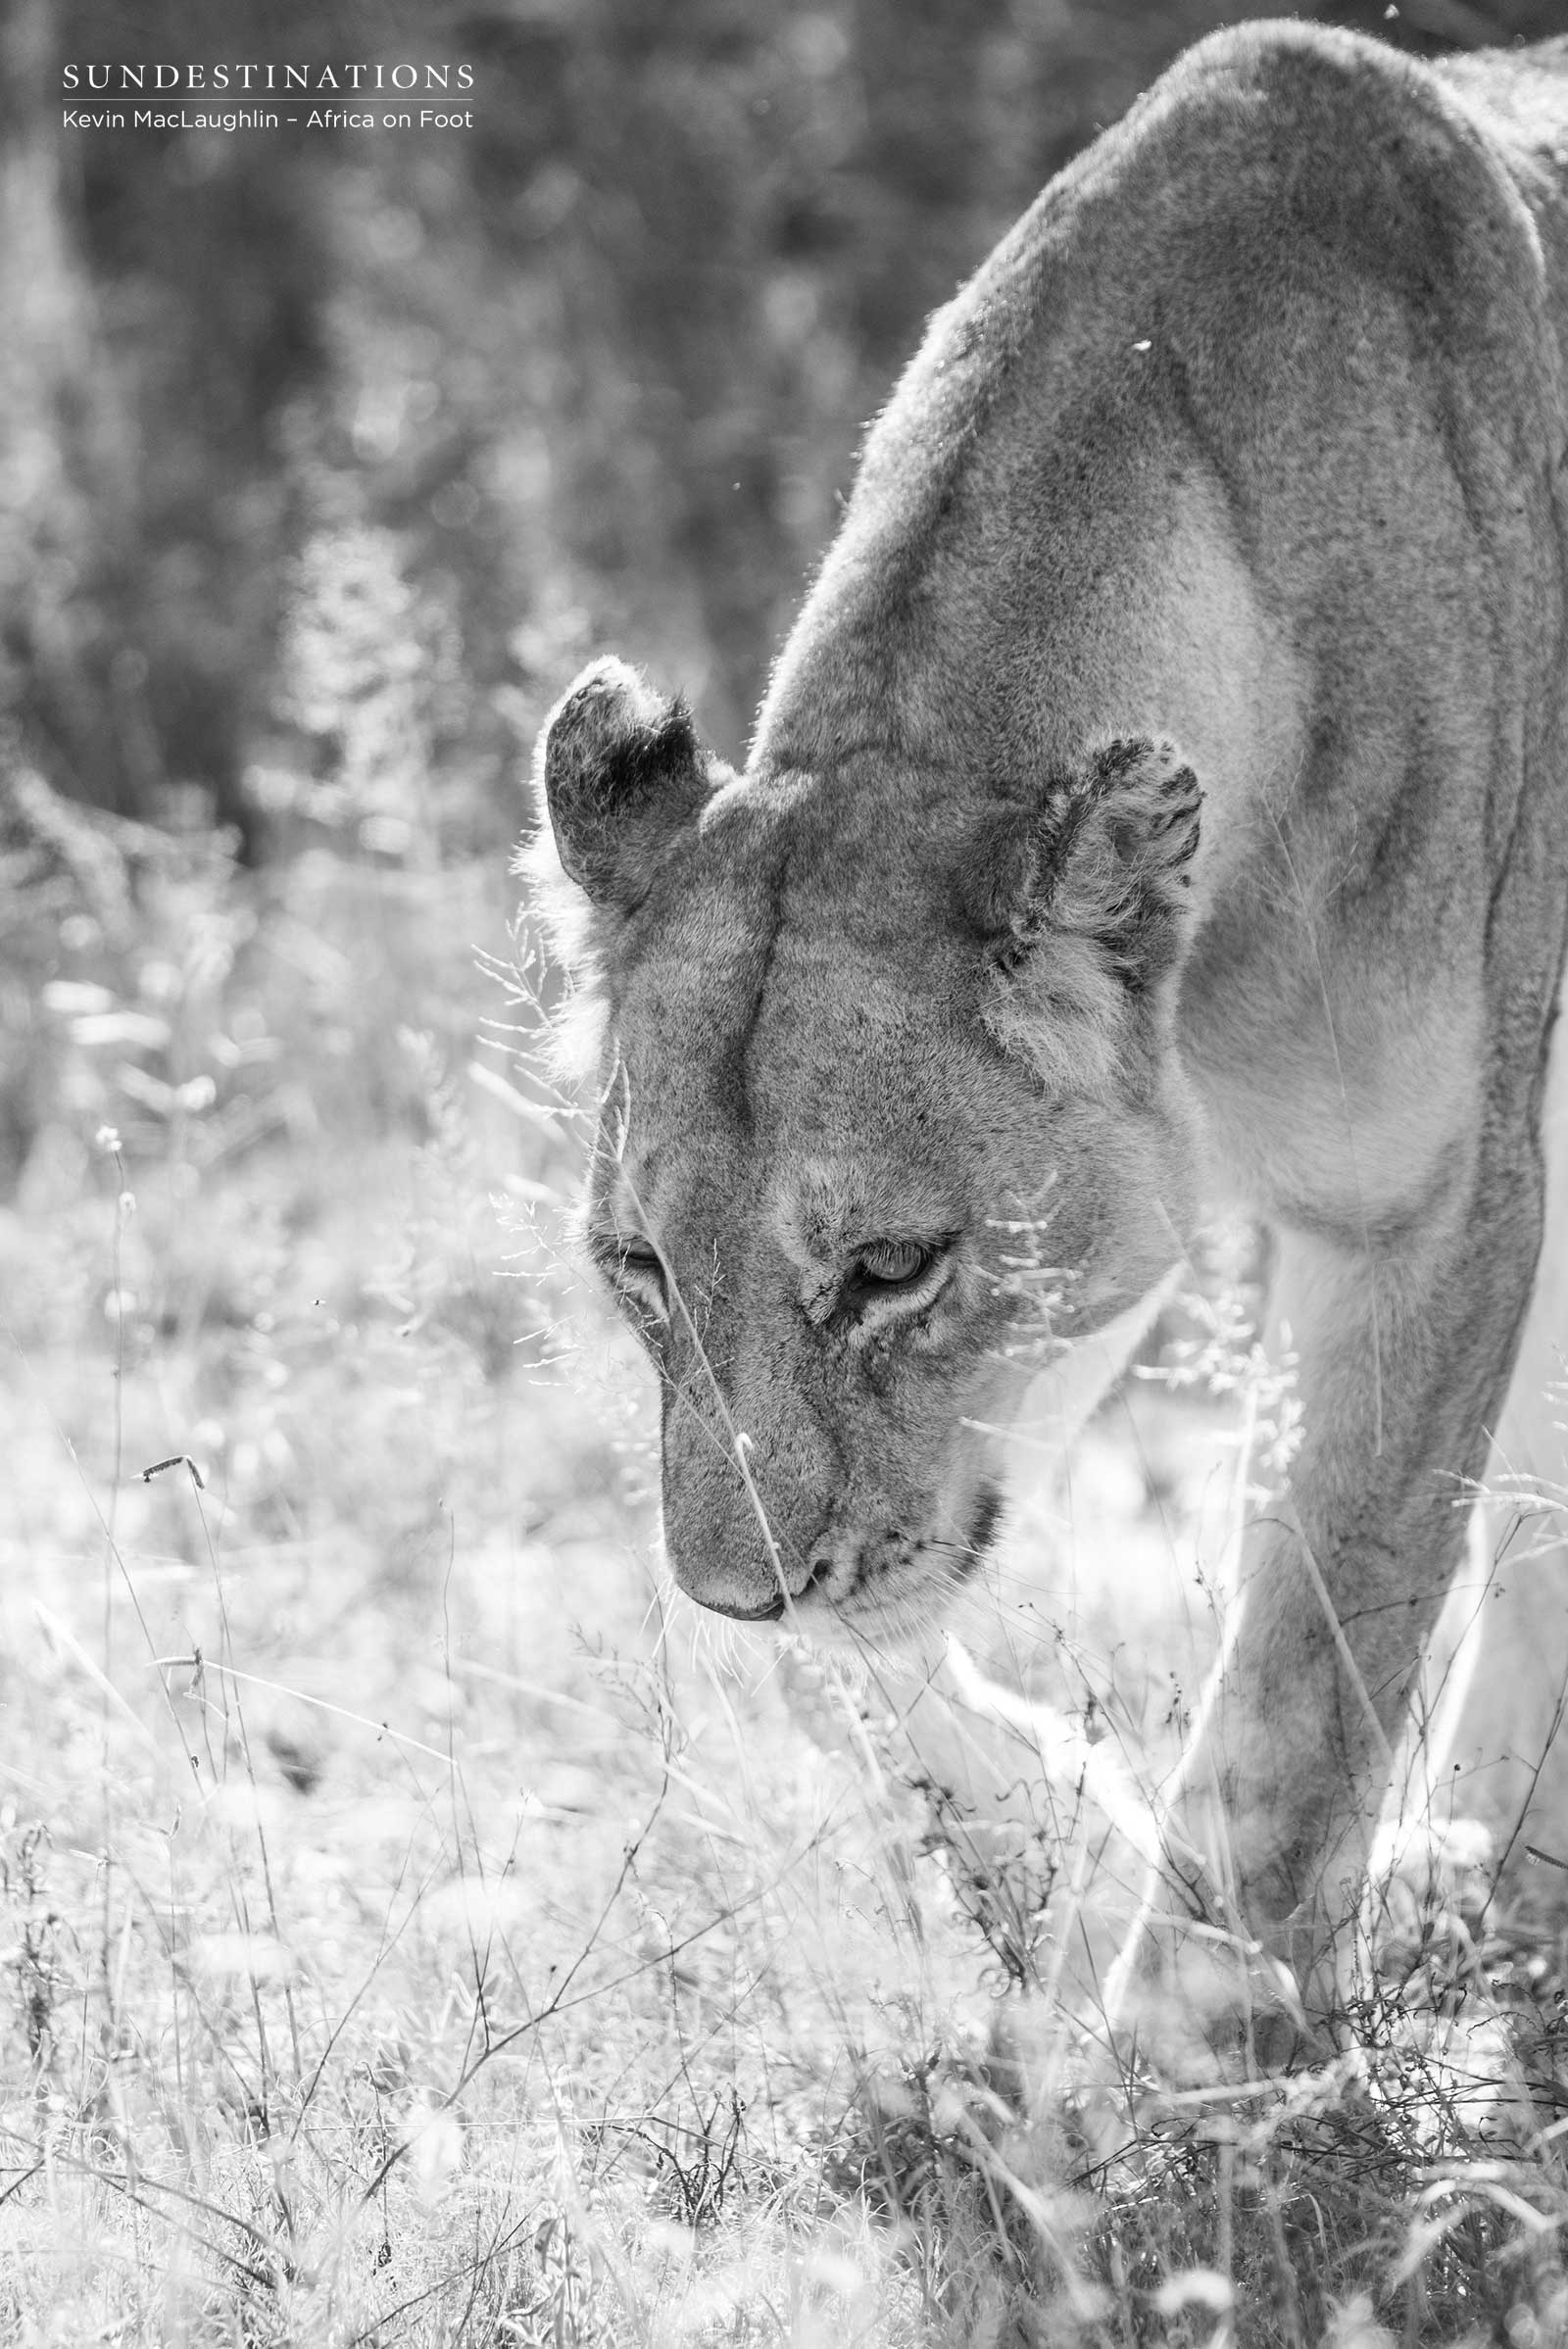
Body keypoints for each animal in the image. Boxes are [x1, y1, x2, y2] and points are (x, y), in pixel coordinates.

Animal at [528, 21, 1568, 2024]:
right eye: (639, 1272)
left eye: (890, 1268)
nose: (729, 1597)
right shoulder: (1098, 1264)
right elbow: (873, 1648)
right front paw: (1062, 1861)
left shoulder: (1434, 1202)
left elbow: (1304, 1684)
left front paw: (1195, 2059)